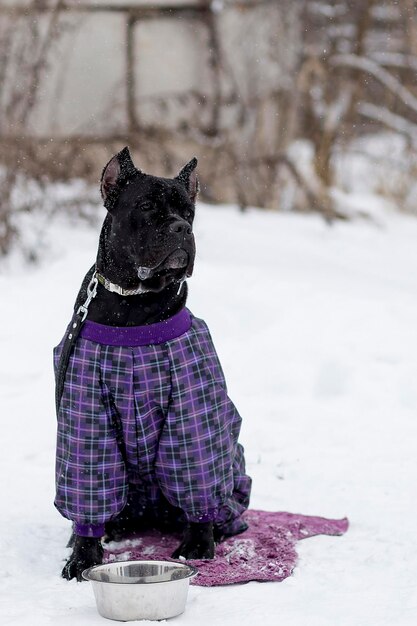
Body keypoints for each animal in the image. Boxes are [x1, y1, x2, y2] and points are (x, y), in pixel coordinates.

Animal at [56, 147, 250, 580]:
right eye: (146, 207)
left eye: (189, 212)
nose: (180, 228)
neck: (133, 305)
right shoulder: (86, 414)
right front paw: (84, 555)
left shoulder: (192, 416)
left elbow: (197, 478)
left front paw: (198, 546)